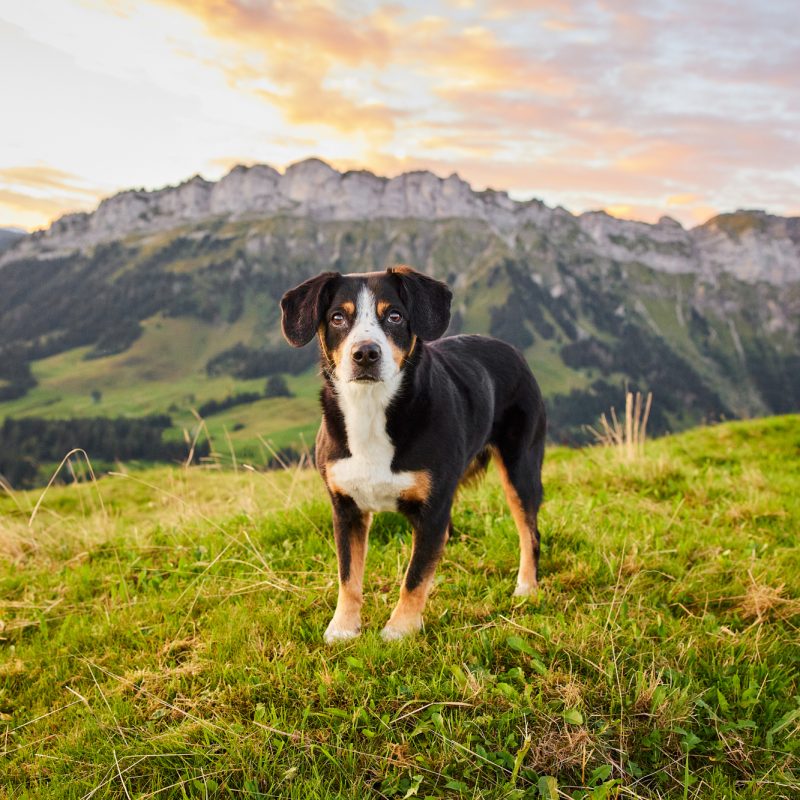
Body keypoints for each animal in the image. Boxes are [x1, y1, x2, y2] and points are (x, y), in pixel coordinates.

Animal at [278, 266, 548, 640]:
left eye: (394, 316)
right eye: (337, 318)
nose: (365, 353)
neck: (371, 411)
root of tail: (511, 349)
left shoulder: (432, 511)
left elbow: (415, 576)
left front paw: (400, 629)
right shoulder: (345, 508)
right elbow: (348, 575)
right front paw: (343, 627)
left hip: (520, 467)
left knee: (529, 531)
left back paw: (526, 587)